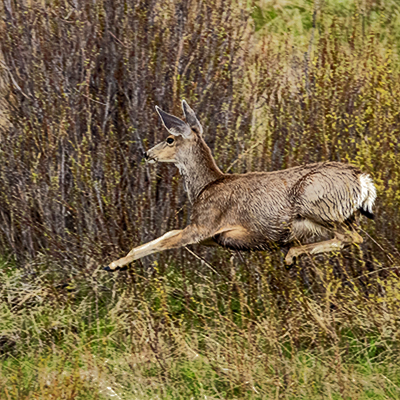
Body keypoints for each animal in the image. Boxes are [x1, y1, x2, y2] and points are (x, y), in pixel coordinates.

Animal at [104, 100, 376, 270]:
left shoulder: (204, 223)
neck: (206, 186)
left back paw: (290, 257)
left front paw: (113, 265)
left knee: (352, 237)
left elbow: (165, 240)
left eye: (170, 139)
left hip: (318, 205)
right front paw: (115, 263)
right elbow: (168, 234)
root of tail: (363, 181)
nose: (147, 153)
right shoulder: (214, 236)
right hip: (342, 214)